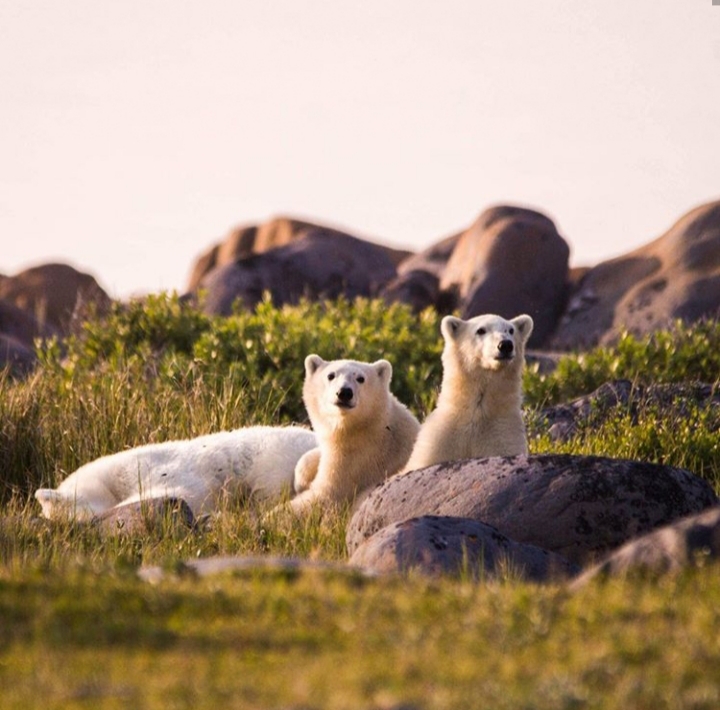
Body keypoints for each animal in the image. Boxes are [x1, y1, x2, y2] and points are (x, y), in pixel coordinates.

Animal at [279, 354, 421, 515]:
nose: (344, 392)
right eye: (331, 375)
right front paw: (301, 479)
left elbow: (325, 496)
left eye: (360, 378)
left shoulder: (359, 459)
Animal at [402, 313, 534, 472]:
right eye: (481, 330)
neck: (476, 413)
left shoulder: (504, 435)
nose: (505, 345)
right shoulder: (439, 442)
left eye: (510, 330)